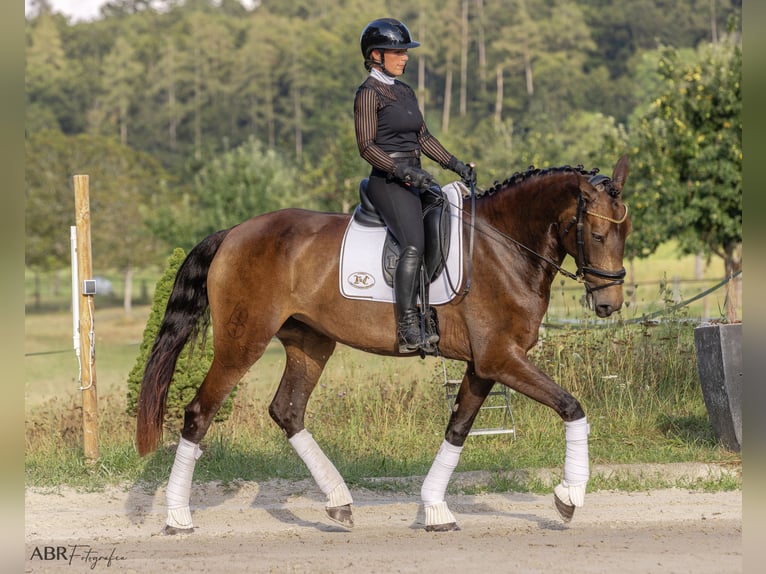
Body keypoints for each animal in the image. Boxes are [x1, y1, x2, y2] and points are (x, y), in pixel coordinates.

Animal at [135, 154, 632, 536]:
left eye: (624, 234)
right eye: (598, 234)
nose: (609, 304)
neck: (504, 246)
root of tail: (234, 232)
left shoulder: (484, 364)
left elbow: (458, 429)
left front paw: (436, 509)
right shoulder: (500, 358)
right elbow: (570, 406)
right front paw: (569, 496)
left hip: (310, 342)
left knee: (287, 410)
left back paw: (339, 502)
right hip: (242, 343)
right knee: (199, 413)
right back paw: (178, 518)